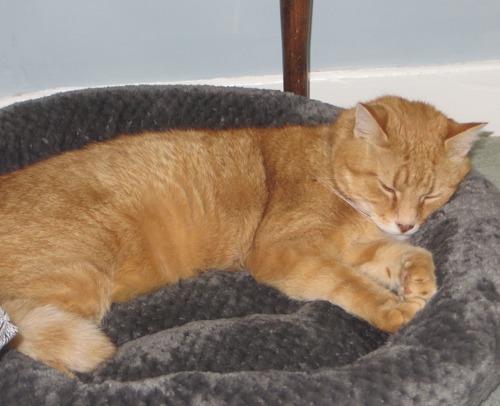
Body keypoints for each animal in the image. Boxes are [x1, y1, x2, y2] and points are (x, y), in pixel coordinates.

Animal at [0, 96, 484, 374]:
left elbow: (406, 255)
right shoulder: (286, 253)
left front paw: (416, 278)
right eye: (388, 187)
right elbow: (353, 285)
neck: (326, 166)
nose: (406, 223)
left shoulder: (359, 247)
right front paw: (393, 307)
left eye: (431, 194)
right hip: (79, 278)